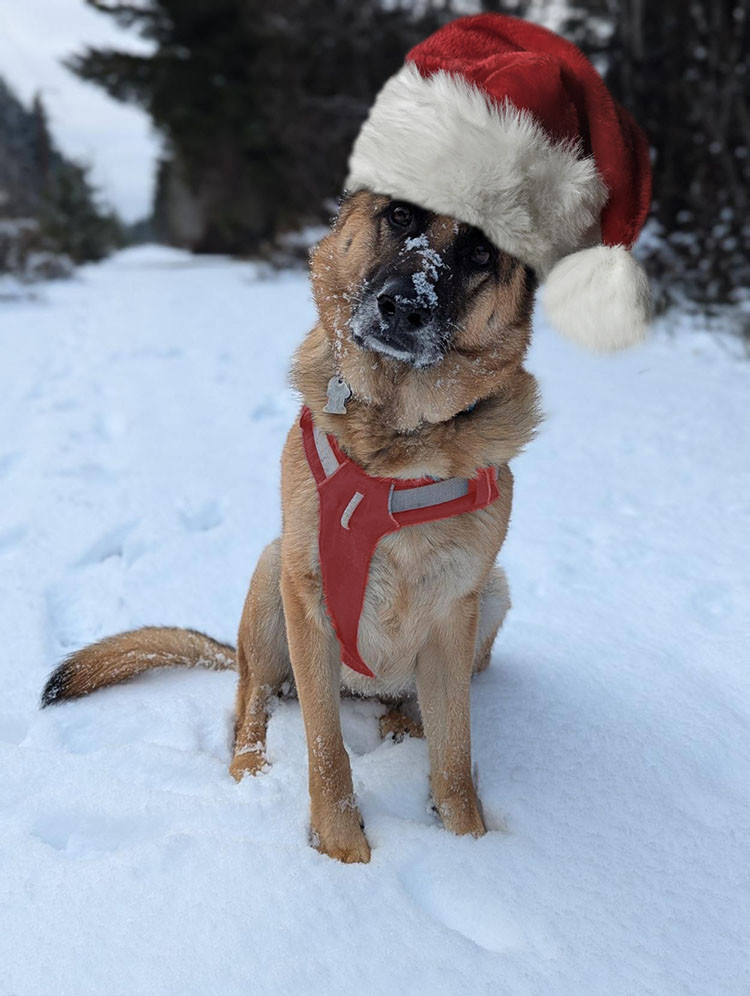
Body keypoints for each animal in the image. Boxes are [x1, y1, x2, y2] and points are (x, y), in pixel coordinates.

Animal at [41, 195, 544, 864]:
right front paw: (342, 851)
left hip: (493, 595)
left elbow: (455, 757)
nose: (403, 308)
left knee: (406, 703)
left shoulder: (452, 614)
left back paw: (402, 722)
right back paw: (252, 764)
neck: (398, 449)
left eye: (481, 252)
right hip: (270, 575)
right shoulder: (309, 601)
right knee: (253, 701)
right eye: (401, 216)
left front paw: (472, 849)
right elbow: (327, 751)